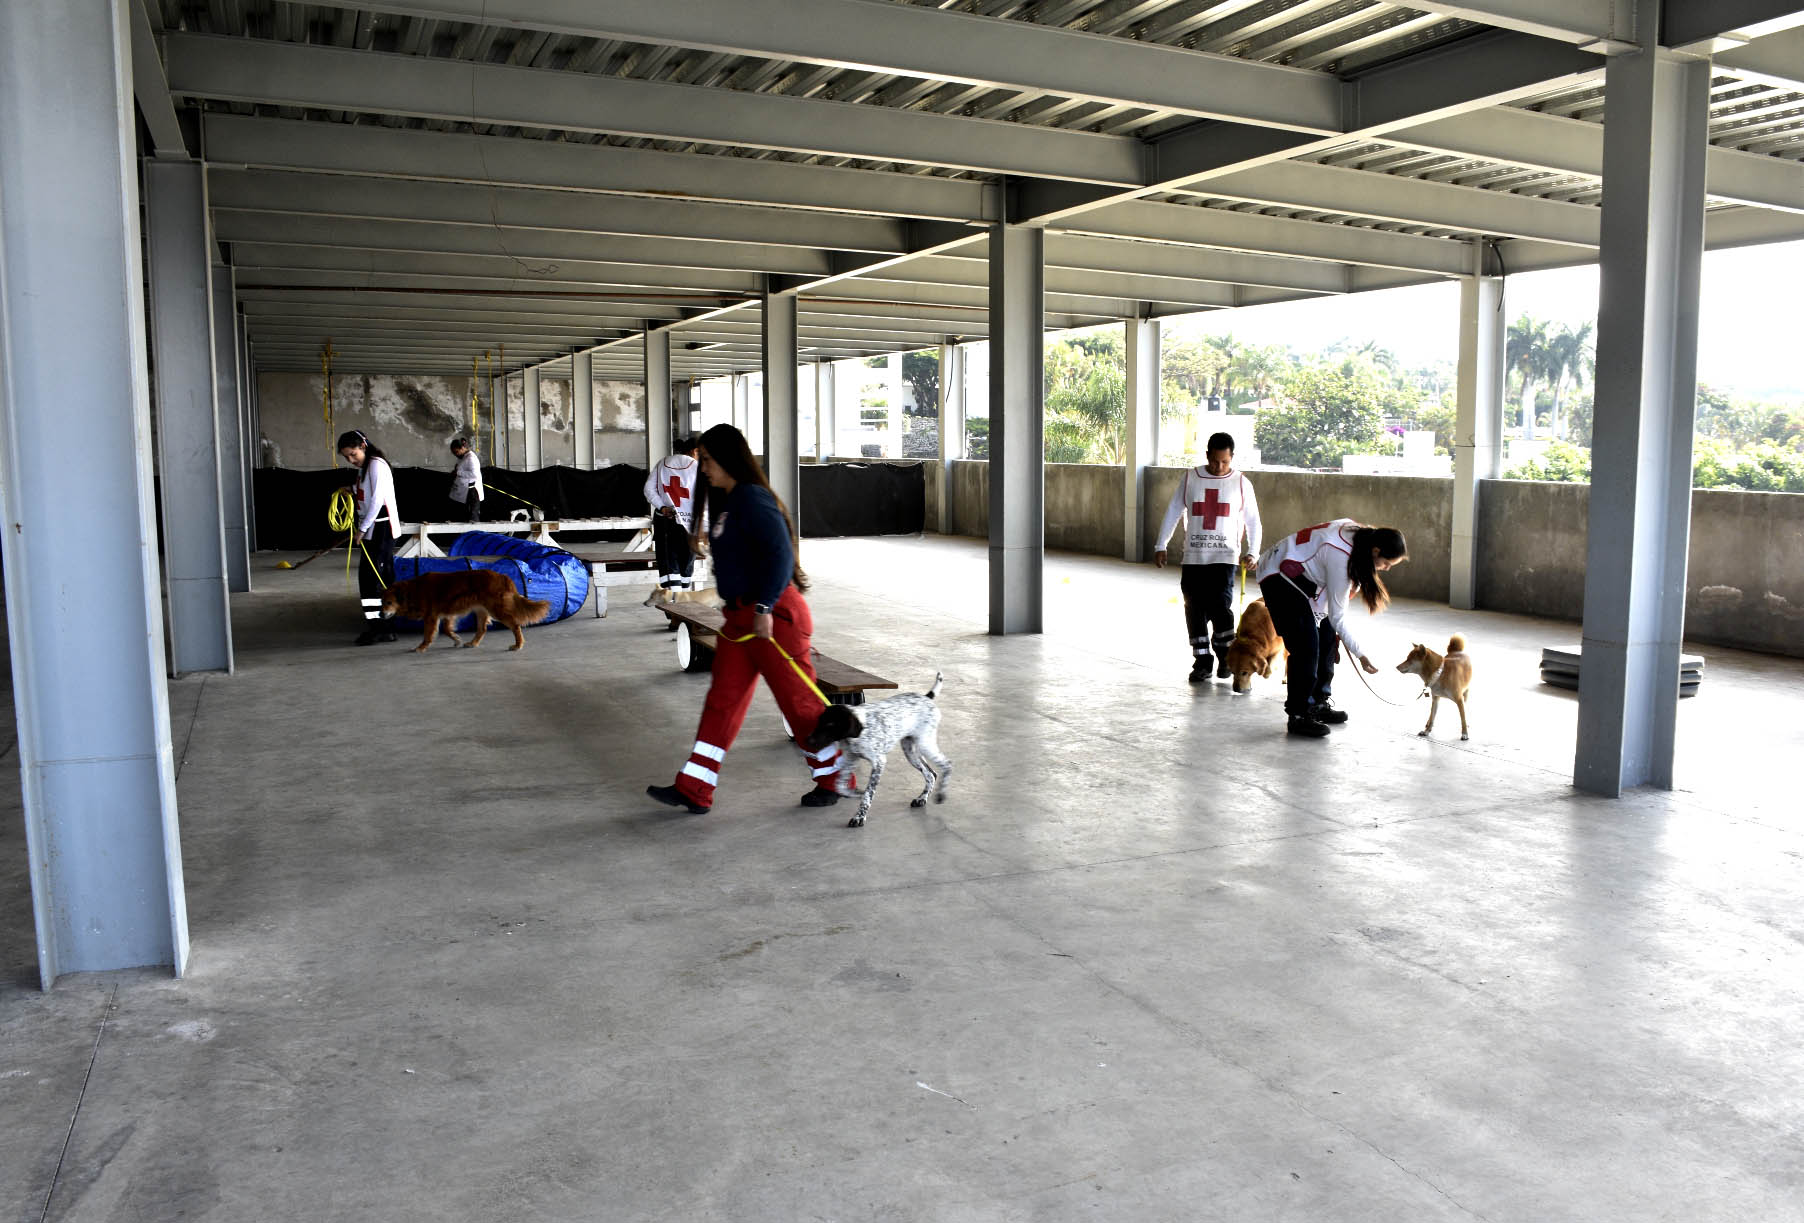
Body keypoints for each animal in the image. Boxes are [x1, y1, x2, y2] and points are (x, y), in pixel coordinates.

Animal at [800, 674, 952, 829]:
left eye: (830, 724)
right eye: (819, 722)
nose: (808, 741)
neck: (860, 730)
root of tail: (927, 697)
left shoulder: (879, 762)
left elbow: (869, 793)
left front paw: (859, 816)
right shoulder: (851, 759)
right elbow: (840, 786)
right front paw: (856, 793)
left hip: (925, 744)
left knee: (947, 764)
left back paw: (940, 794)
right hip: (910, 750)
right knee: (931, 774)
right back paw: (922, 798)